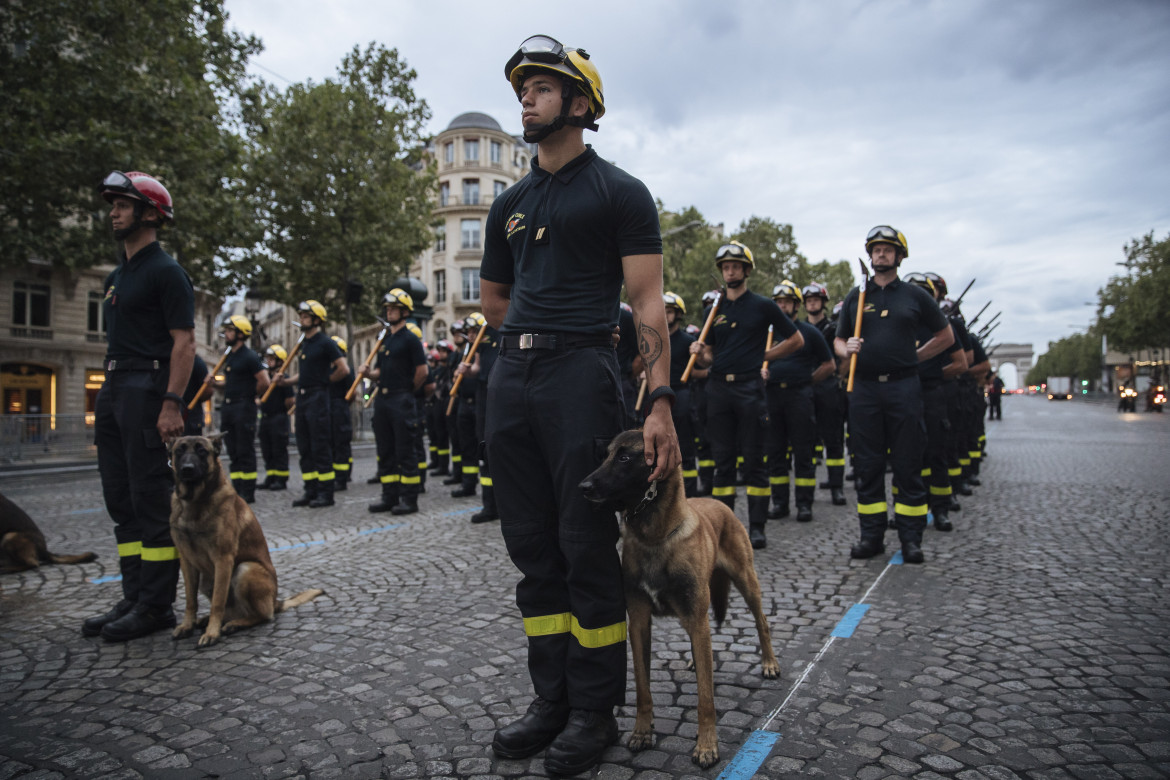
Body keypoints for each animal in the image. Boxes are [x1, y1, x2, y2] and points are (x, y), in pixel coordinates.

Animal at [164, 437, 320, 650]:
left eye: (202, 451)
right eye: (179, 451)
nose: (187, 468)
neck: (194, 502)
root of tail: (274, 602)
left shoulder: (223, 559)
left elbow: (217, 601)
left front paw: (211, 634)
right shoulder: (186, 562)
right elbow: (190, 600)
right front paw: (187, 625)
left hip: (245, 569)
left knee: (261, 615)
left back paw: (234, 624)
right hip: (206, 579)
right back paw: (207, 620)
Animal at [580, 430, 781, 771]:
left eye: (624, 457)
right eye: (604, 455)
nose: (583, 487)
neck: (654, 537)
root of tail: (718, 501)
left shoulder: (697, 619)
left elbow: (705, 699)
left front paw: (707, 746)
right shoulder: (639, 623)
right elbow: (643, 688)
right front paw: (642, 732)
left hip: (745, 581)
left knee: (762, 622)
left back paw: (769, 663)